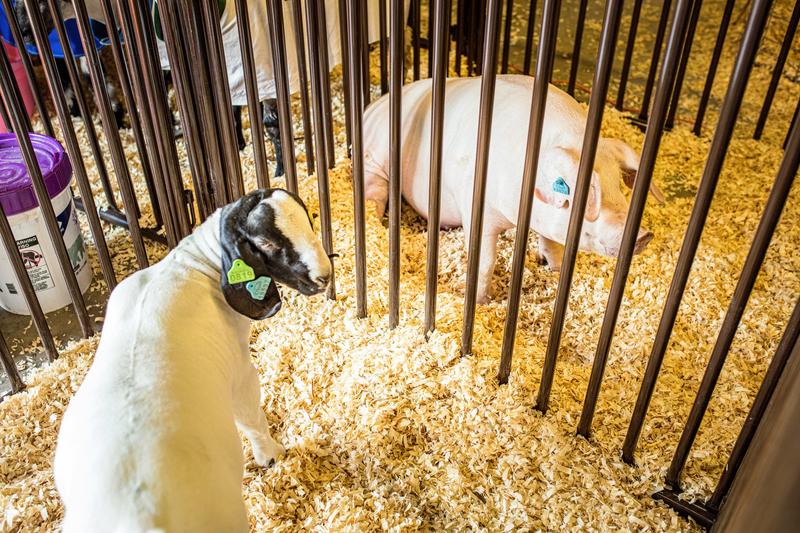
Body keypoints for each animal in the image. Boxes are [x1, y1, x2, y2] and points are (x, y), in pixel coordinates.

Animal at [53, 188, 332, 533]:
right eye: (266, 243)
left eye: (309, 219)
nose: (324, 276)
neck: (196, 264)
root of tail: (136, 519)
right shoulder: (240, 372)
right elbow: (251, 418)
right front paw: (271, 455)